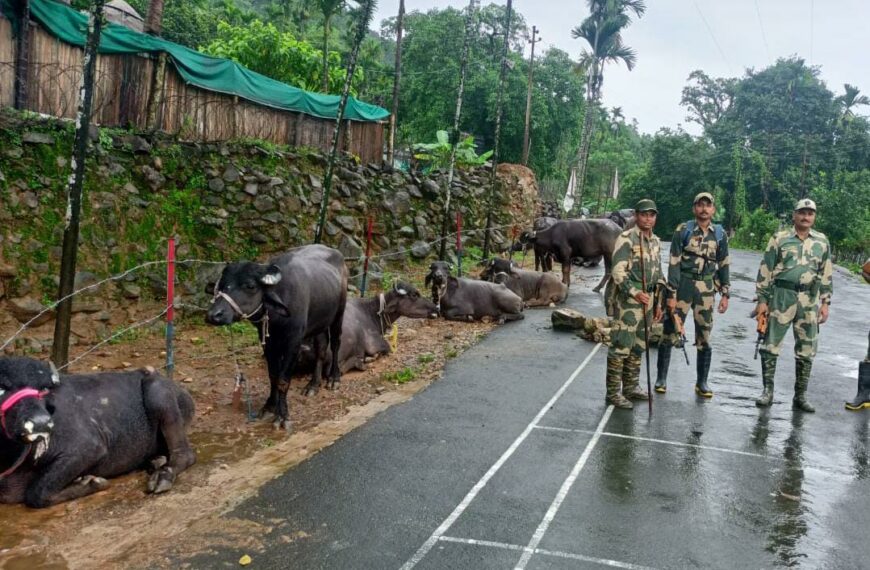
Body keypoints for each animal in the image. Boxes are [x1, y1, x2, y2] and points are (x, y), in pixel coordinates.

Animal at [0, 356, 194, 506]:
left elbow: (37, 492)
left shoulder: (90, 448)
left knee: (185, 454)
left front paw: (91, 482)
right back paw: (155, 461)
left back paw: (162, 476)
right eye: (2, 388)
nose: (41, 422)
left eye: (44, 389)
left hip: (158, 395)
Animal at [206, 242, 350, 428]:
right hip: (320, 322)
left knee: (336, 343)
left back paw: (333, 379)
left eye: (250, 286)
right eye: (222, 286)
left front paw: (283, 416)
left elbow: (283, 380)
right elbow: (273, 376)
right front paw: (269, 406)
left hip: (339, 313)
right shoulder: (267, 341)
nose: (214, 315)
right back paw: (313, 385)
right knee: (321, 349)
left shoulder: (294, 341)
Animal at [300, 280, 440, 372]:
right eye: (414, 295)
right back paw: (362, 361)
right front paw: (371, 357)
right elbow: (388, 348)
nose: (436, 308)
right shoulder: (374, 343)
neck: (370, 312)